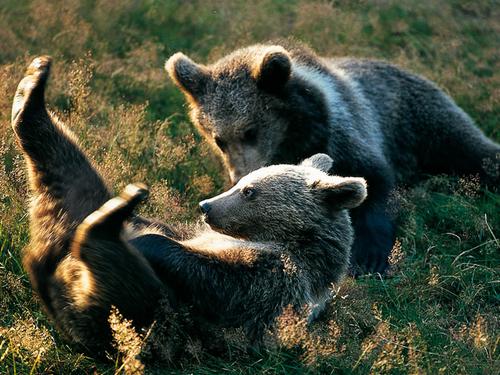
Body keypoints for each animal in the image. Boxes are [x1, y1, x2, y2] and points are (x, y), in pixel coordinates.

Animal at [10, 55, 364, 352]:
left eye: (250, 191)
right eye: (242, 185)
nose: (206, 206)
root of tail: (52, 273)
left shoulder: (274, 282)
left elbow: (218, 282)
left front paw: (149, 242)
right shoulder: (196, 234)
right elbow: (172, 233)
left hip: (137, 314)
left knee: (111, 263)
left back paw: (114, 215)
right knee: (69, 180)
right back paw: (29, 92)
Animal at [165, 41, 500, 274]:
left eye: (250, 131)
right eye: (218, 139)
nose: (239, 175)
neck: (293, 135)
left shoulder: (345, 133)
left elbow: (373, 181)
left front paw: (369, 257)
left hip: (424, 120)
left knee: (472, 151)